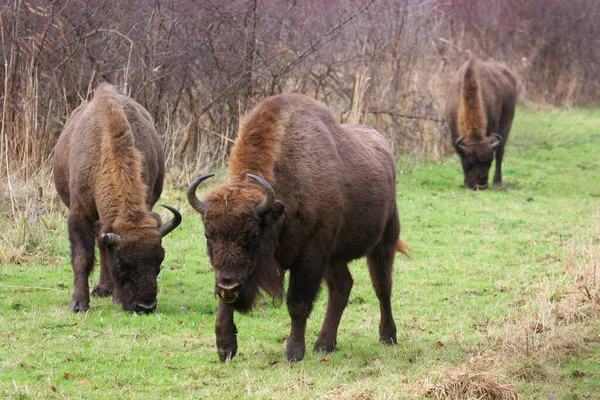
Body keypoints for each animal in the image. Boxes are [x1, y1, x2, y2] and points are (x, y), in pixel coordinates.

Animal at [53, 83, 180, 314]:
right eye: (122, 264)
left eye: (159, 261)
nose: (146, 306)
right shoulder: (79, 215)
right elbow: (82, 258)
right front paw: (79, 304)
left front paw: (115, 297)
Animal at [190, 94, 410, 362]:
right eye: (208, 235)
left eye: (253, 235)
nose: (228, 287)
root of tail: (383, 145)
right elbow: (224, 302)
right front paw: (225, 348)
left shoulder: (310, 256)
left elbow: (298, 305)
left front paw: (294, 352)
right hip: (334, 258)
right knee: (342, 287)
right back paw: (324, 344)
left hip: (384, 242)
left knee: (382, 288)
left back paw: (387, 336)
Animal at [446, 58, 516, 190]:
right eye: (470, 163)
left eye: (489, 162)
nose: (481, 185)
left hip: (507, 126)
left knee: (500, 152)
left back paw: (497, 181)